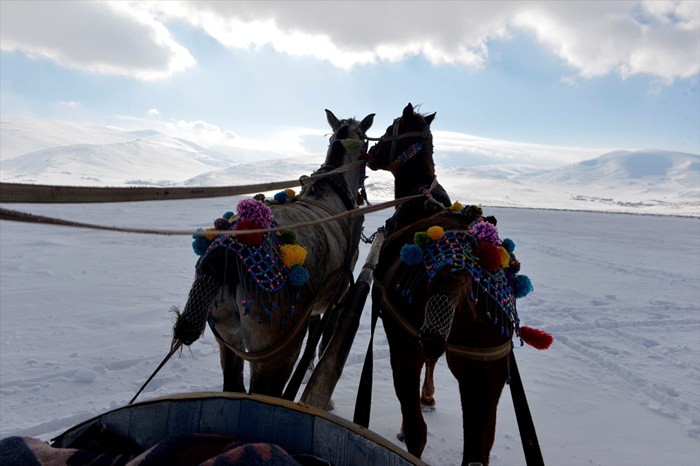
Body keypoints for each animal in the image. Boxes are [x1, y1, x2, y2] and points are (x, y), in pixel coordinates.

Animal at [172, 110, 374, 396]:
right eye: (367, 140)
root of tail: (229, 254)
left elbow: (314, 328)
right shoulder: (339, 297)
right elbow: (323, 340)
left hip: (227, 334)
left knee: (233, 385)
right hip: (275, 353)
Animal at [366, 104, 520, 464]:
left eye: (390, 130)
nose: (369, 154)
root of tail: (460, 263)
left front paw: (425, 397)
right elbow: (433, 359)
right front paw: (430, 395)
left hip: (404, 347)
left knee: (417, 431)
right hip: (486, 371)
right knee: (478, 449)